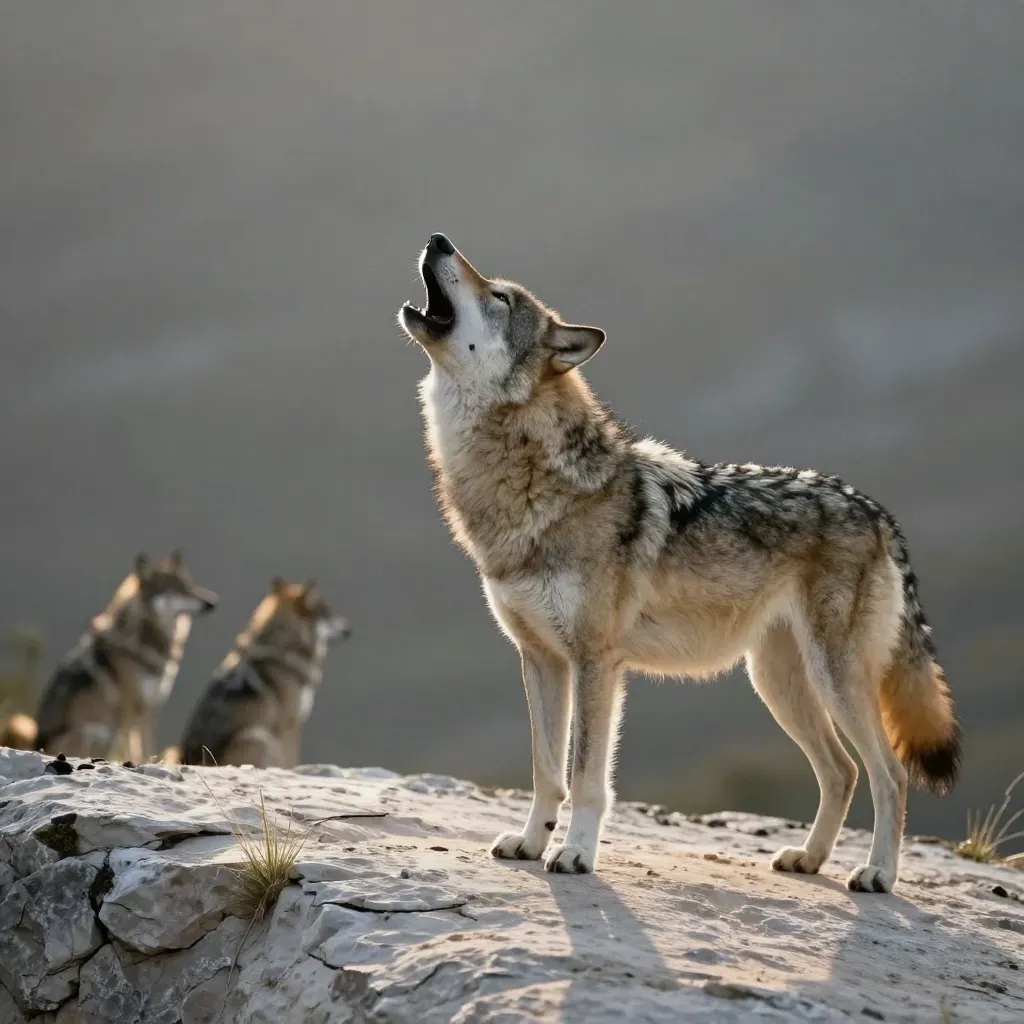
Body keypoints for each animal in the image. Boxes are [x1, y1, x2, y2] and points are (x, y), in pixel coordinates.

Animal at [35, 551, 217, 762]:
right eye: (174, 588)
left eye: (190, 585)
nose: (211, 603)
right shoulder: (133, 709)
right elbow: (139, 749)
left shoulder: (148, 709)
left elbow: (147, 747)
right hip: (101, 732)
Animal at [180, 578, 350, 768]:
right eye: (329, 611)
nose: (348, 629)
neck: (286, 645)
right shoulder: (289, 725)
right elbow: (290, 759)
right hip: (258, 738)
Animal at [397, 233, 960, 893]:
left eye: (501, 297)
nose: (438, 240)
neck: (530, 484)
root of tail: (876, 511)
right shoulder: (540, 659)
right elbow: (545, 772)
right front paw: (531, 843)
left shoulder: (595, 662)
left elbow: (585, 777)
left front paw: (576, 854)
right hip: (777, 682)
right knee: (841, 771)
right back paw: (809, 859)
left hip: (834, 678)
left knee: (888, 773)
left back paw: (876, 874)